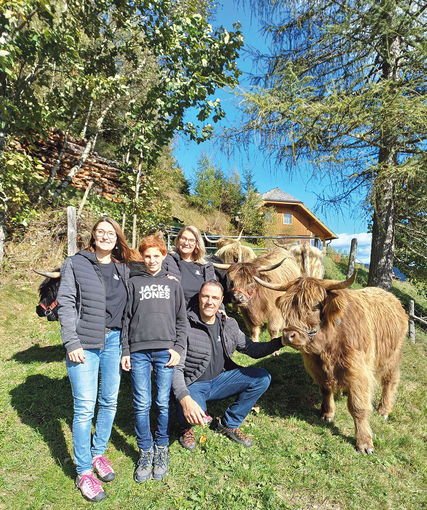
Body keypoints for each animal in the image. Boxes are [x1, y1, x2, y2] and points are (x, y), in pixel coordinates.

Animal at [256, 272, 410, 452]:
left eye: (315, 307)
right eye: (286, 308)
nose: (289, 335)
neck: (328, 347)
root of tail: (393, 298)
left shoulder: (359, 372)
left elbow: (358, 406)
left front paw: (364, 443)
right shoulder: (317, 368)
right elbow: (325, 390)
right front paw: (327, 414)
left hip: (393, 358)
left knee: (390, 381)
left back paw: (384, 410)